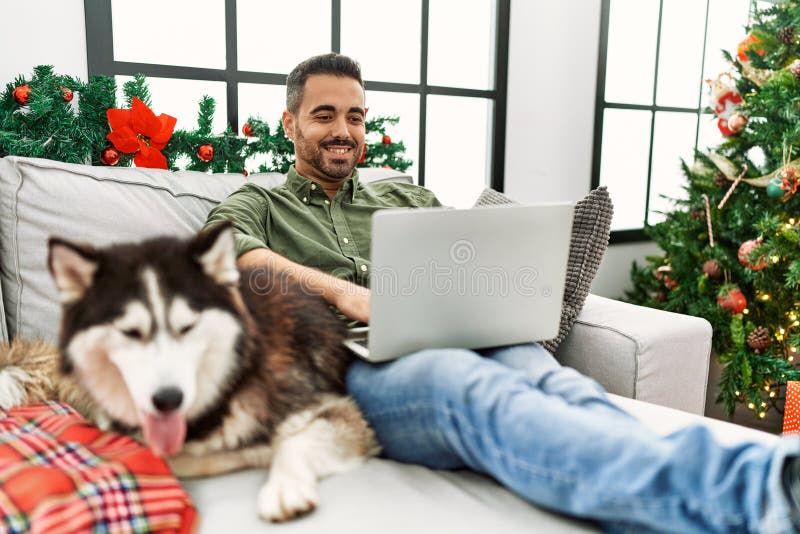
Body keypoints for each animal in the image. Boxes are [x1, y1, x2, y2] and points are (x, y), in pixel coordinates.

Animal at [0, 224, 378, 524]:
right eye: (130, 332)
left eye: (187, 327)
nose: (168, 399)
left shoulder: (338, 408)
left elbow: (294, 442)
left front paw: (284, 486)